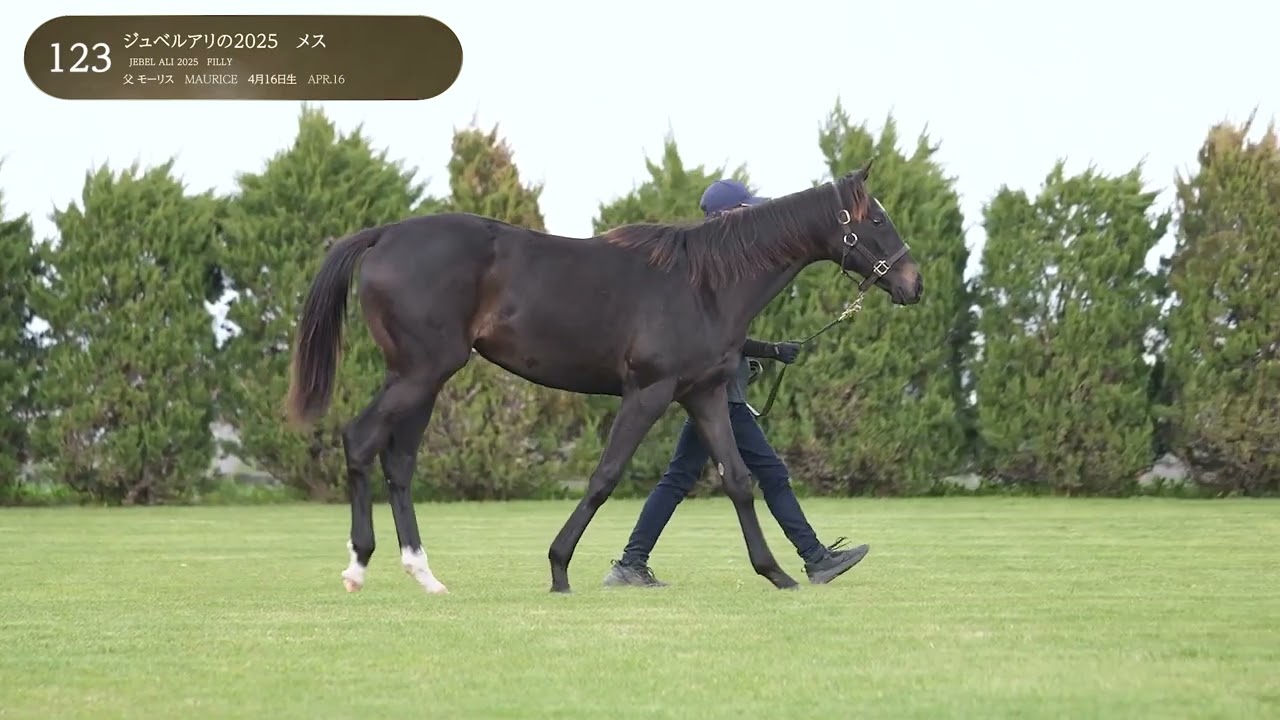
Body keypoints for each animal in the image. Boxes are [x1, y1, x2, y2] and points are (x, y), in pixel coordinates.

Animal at [284, 160, 921, 595]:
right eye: (878, 218)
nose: (913, 283)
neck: (704, 284)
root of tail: (383, 235)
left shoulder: (705, 395)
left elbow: (740, 480)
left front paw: (778, 573)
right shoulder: (649, 393)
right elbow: (604, 476)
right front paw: (559, 568)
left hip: (421, 378)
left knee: (399, 463)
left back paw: (424, 574)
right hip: (421, 372)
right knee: (361, 441)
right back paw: (358, 566)